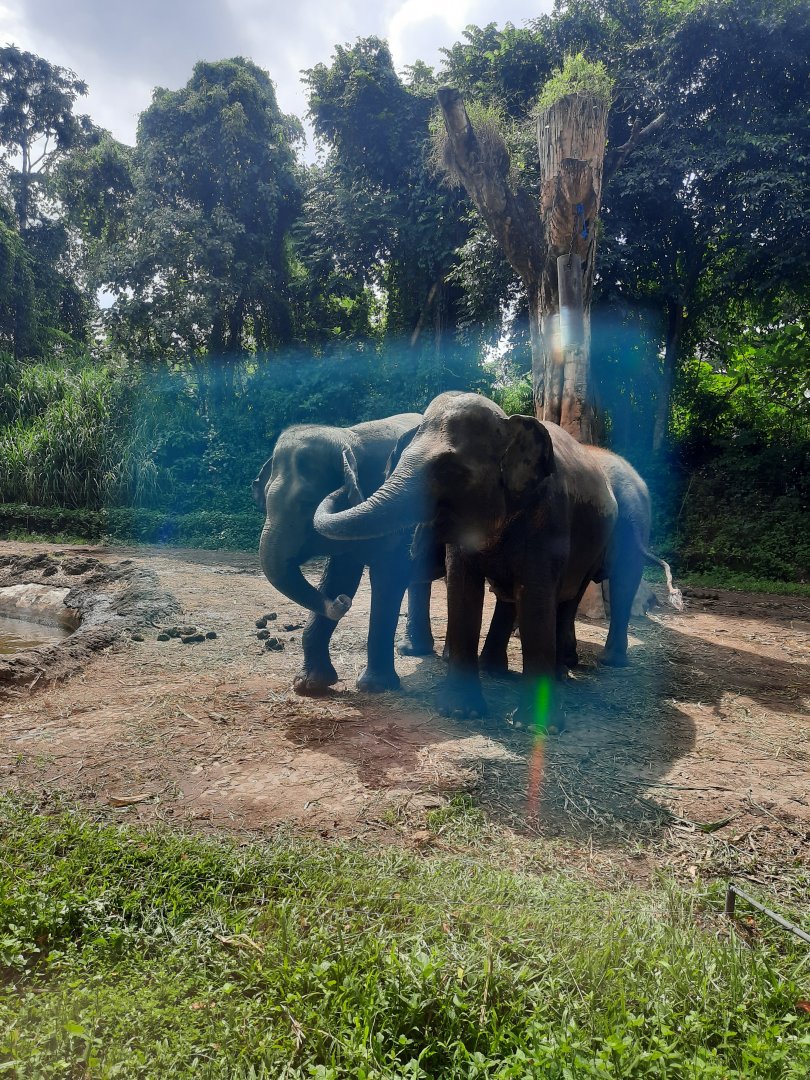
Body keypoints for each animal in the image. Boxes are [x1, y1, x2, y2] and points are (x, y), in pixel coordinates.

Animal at [254, 413, 437, 696]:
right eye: (265, 500)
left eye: (307, 503)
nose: (342, 603)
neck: (348, 436)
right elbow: (340, 578)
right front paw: (309, 685)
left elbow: (388, 579)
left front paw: (374, 687)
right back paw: (412, 651)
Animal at [314, 392, 679, 721]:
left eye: (449, 470)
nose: (343, 477)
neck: (507, 421)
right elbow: (462, 587)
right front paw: (461, 713)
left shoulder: (550, 515)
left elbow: (535, 593)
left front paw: (536, 725)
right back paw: (498, 669)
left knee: (585, 592)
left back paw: (582, 668)